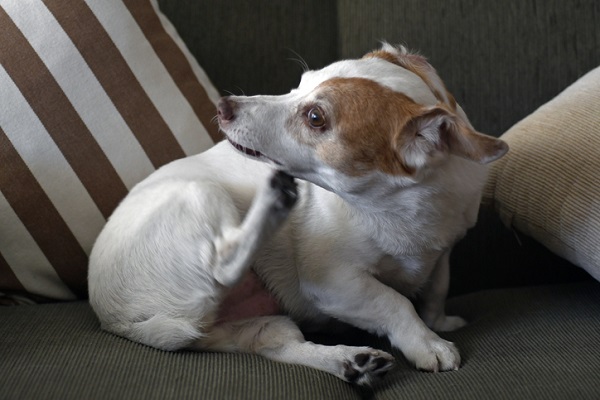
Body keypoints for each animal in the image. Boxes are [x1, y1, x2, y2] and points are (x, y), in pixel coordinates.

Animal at [89, 43, 508, 384]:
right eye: (299, 84)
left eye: (315, 117)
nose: (223, 106)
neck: (396, 208)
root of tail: (117, 320)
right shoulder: (333, 283)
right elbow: (396, 302)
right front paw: (426, 342)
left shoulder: (443, 251)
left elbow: (437, 288)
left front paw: (440, 323)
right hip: (202, 193)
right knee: (223, 263)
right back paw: (272, 202)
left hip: (259, 325)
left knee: (280, 345)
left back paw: (351, 362)